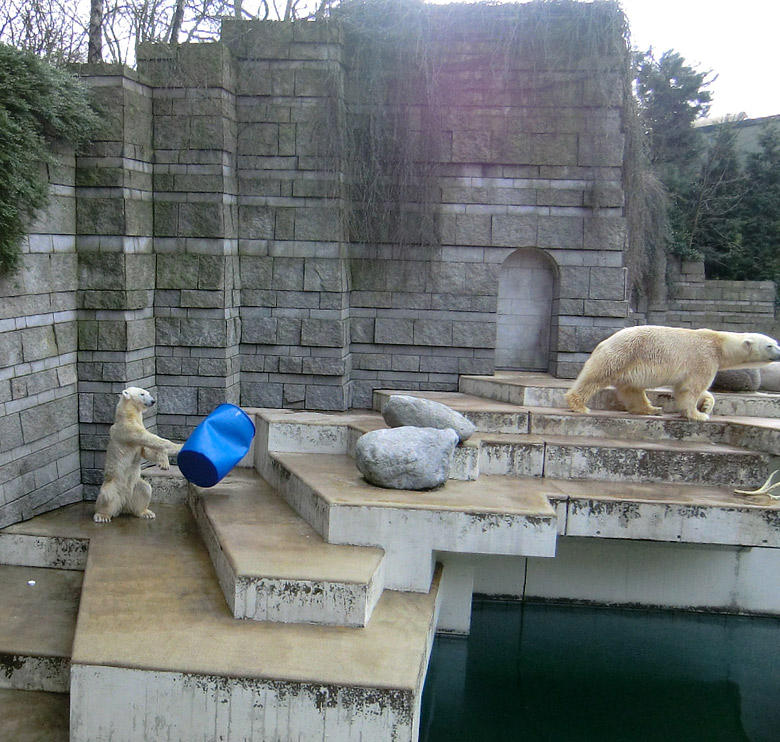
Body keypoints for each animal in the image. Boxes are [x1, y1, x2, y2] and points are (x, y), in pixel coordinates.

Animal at [93, 390, 182, 524]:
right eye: (142, 394)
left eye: (148, 393)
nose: (153, 401)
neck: (128, 414)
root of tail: (123, 503)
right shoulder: (127, 430)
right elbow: (149, 438)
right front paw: (177, 449)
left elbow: (146, 451)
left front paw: (164, 460)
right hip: (114, 483)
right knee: (108, 495)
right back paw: (102, 516)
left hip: (134, 485)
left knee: (145, 489)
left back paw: (146, 513)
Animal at [564, 326, 780, 424]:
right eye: (770, 345)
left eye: (776, 343)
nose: (779, 353)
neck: (719, 343)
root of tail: (604, 342)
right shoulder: (704, 358)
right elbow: (691, 388)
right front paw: (698, 415)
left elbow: (686, 387)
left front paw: (706, 405)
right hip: (623, 355)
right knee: (596, 377)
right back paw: (579, 405)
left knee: (632, 389)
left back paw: (651, 409)